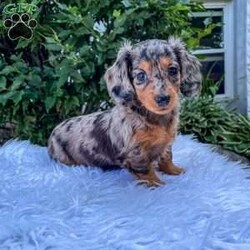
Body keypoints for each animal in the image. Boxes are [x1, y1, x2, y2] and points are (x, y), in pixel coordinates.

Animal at [48, 36, 201, 186]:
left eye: (173, 70)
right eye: (140, 76)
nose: (163, 99)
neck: (153, 118)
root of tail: (54, 131)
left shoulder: (166, 143)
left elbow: (166, 157)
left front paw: (174, 170)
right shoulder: (135, 151)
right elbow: (145, 169)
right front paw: (156, 184)